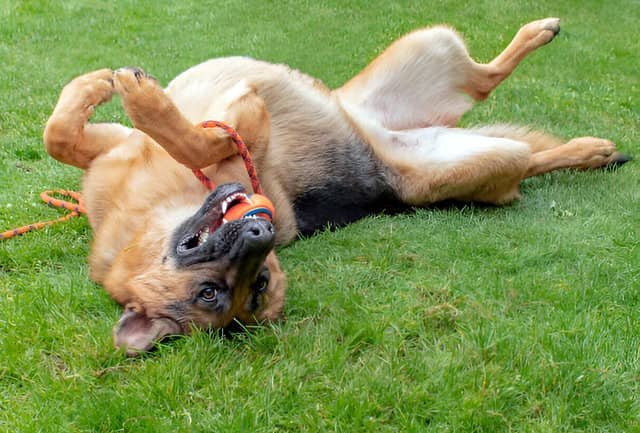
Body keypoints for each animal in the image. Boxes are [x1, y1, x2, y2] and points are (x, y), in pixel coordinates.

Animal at [43, 17, 632, 354]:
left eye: (258, 280)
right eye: (215, 294)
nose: (263, 232)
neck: (150, 213)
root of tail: (392, 142)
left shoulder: (123, 143)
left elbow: (63, 135)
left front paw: (108, 88)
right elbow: (190, 139)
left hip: (424, 48)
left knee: (486, 78)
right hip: (474, 161)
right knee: (521, 142)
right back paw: (592, 150)